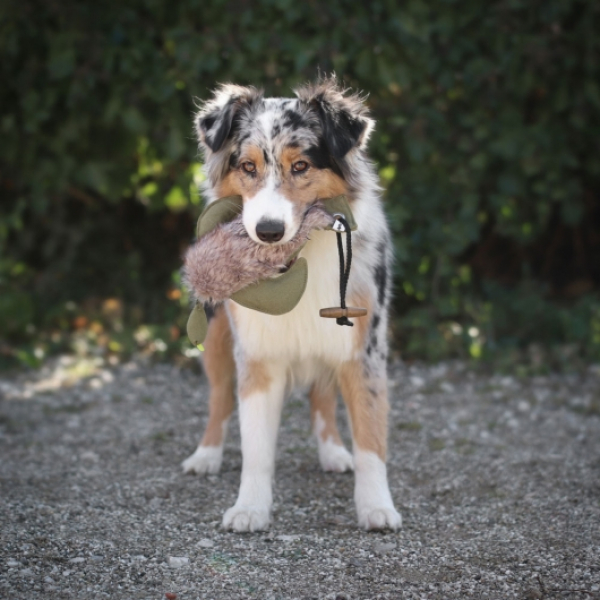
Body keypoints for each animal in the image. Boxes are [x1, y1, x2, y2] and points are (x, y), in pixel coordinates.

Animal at [180, 77, 400, 532]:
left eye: (300, 166)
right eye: (247, 168)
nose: (268, 231)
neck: (300, 259)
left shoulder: (364, 350)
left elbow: (371, 435)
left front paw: (376, 506)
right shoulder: (257, 355)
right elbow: (256, 447)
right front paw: (249, 508)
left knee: (322, 397)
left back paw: (333, 451)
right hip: (216, 335)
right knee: (219, 396)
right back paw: (206, 454)